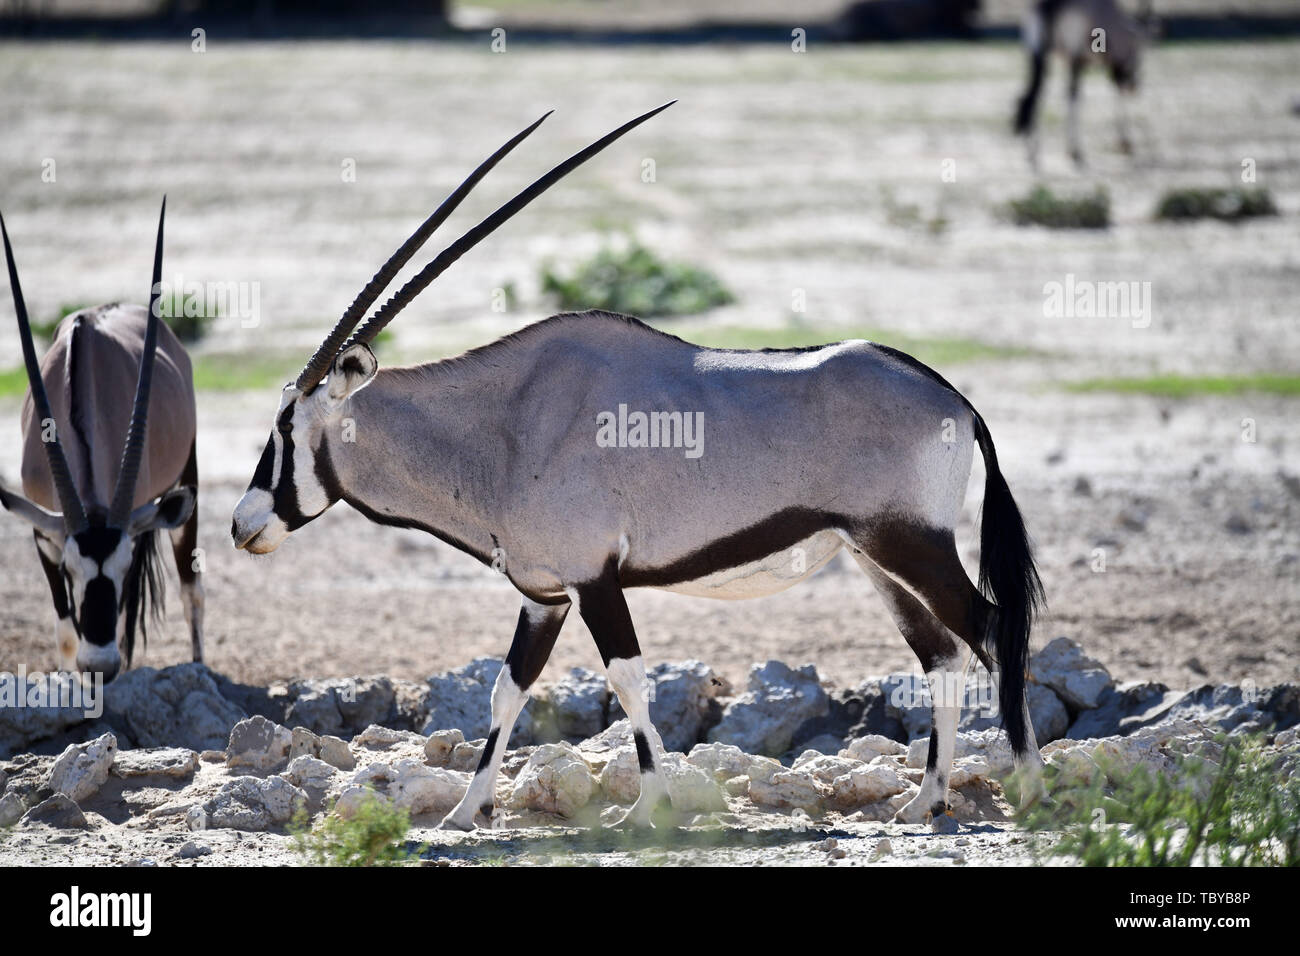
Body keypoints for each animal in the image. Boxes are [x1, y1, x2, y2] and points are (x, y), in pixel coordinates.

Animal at [1, 201, 201, 681]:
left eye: (123, 568)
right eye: (71, 570)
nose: (100, 666)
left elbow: (127, 619)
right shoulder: (45, 533)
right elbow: (66, 632)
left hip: (187, 475)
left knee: (191, 590)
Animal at [233, 100, 1045, 827]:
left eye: (284, 426)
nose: (243, 526)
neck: (506, 423)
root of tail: (957, 401)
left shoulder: (595, 580)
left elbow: (629, 682)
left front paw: (647, 809)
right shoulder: (545, 595)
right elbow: (507, 689)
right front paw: (465, 812)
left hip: (909, 543)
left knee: (990, 628)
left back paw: (1033, 788)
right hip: (877, 559)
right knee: (942, 653)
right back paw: (927, 799)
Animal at [1008, 0, 1154, 166]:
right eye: (1139, 54)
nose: (1133, 87)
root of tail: (1049, 7)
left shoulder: (1069, 62)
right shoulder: (1080, 61)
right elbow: (1085, 95)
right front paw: (1124, 142)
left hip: (1038, 56)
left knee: (1034, 95)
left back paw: (1032, 152)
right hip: (1067, 60)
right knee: (1056, 95)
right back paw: (1069, 150)